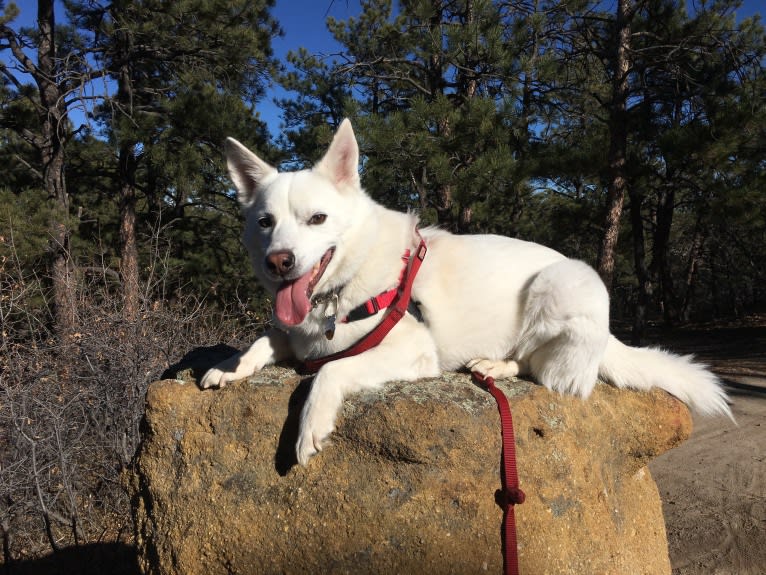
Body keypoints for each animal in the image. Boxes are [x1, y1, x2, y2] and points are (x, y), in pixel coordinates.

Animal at [201, 119, 736, 466]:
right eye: (265, 222)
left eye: (317, 219)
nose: (279, 261)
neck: (344, 288)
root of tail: (609, 337)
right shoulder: (300, 335)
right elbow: (266, 338)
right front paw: (231, 366)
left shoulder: (413, 351)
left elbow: (330, 370)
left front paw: (310, 424)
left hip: (563, 284)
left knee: (547, 371)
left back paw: (496, 366)